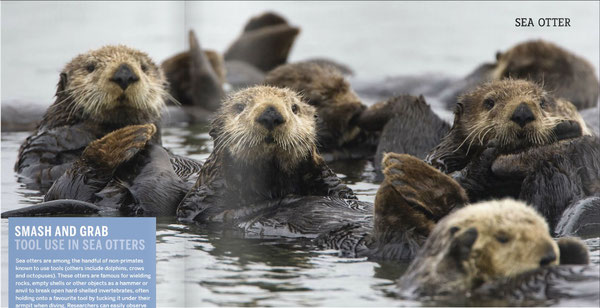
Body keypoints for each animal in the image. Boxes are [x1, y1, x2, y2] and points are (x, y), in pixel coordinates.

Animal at [14, 44, 172, 189]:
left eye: (144, 67)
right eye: (90, 67)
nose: (124, 73)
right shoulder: (40, 145)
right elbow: (42, 171)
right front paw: (126, 139)